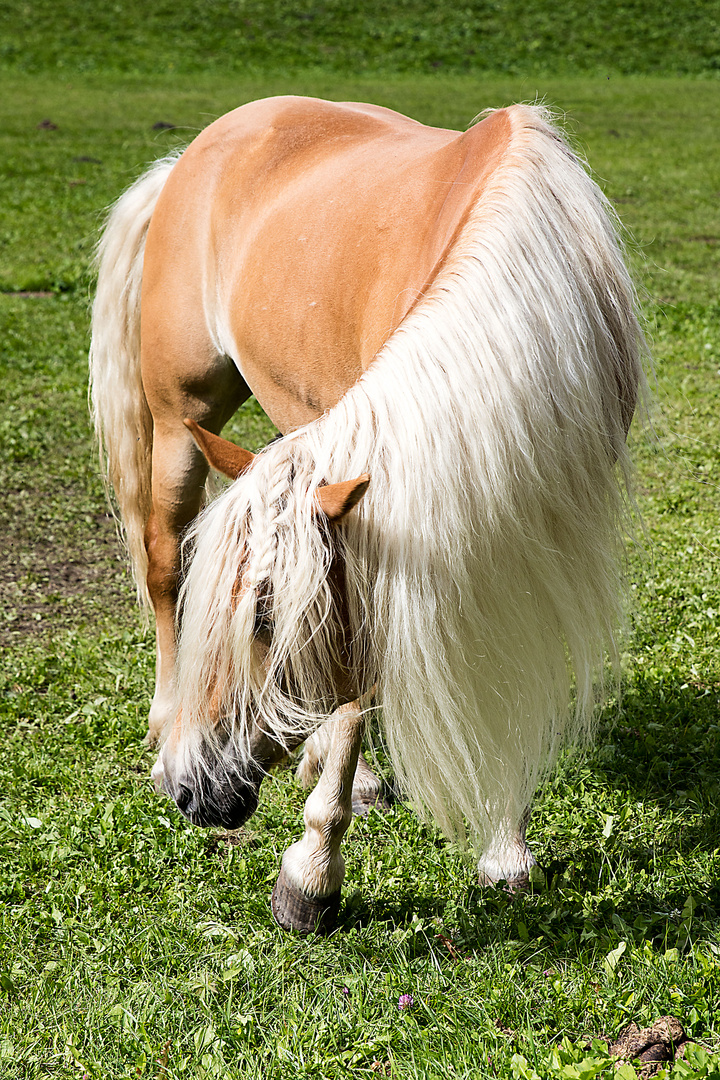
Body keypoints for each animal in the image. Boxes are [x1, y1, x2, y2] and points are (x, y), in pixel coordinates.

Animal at [87, 97, 643, 933]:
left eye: (264, 620)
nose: (194, 791)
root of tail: (200, 149)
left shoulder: (521, 520)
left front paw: (504, 845)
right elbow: (358, 695)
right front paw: (312, 872)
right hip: (181, 418)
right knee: (159, 562)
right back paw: (166, 723)